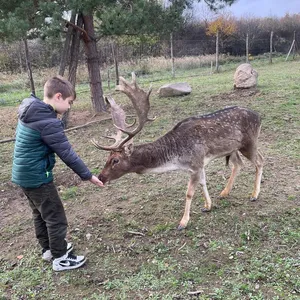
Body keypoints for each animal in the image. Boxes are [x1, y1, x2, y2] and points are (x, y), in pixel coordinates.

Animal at [92, 73, 264, 230]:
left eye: (115, 160)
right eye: (107, 158)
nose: (100, 177)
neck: (176, 158)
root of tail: (259, 116)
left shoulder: (195, 163)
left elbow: (189, 193)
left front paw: (183, 222)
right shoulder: (199, 164)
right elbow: (203, 183)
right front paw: (208, 206)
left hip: (249, 142)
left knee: (260, 160)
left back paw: (254, 195)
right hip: (234, 148)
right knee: (238, 164)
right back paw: (225, 192)